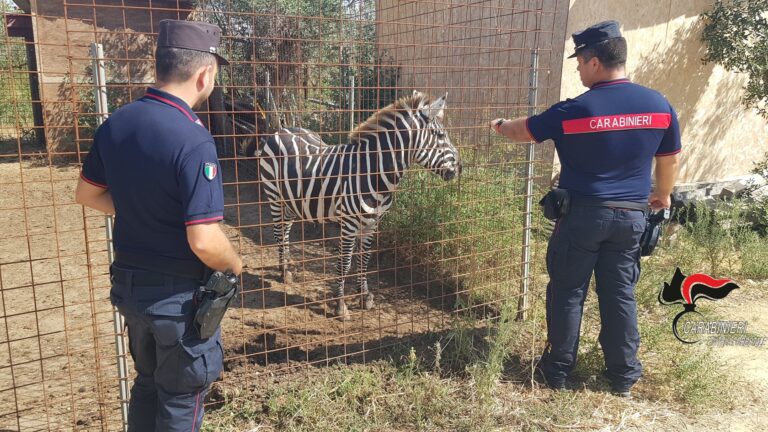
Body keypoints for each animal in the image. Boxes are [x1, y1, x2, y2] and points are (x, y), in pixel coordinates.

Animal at [256, 91, 462, 318]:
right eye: (441, 136)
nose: (460, 168)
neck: (373, 172)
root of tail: (282, 129)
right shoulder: (349, 224)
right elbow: (345, 262)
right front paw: (340, 305)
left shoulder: (372, 223)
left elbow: (365, 258)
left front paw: (364, 296)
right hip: (274, 195)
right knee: (278, 231)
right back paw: (283, 271)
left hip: (291, 200)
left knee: (286, 230)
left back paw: (288, 264)